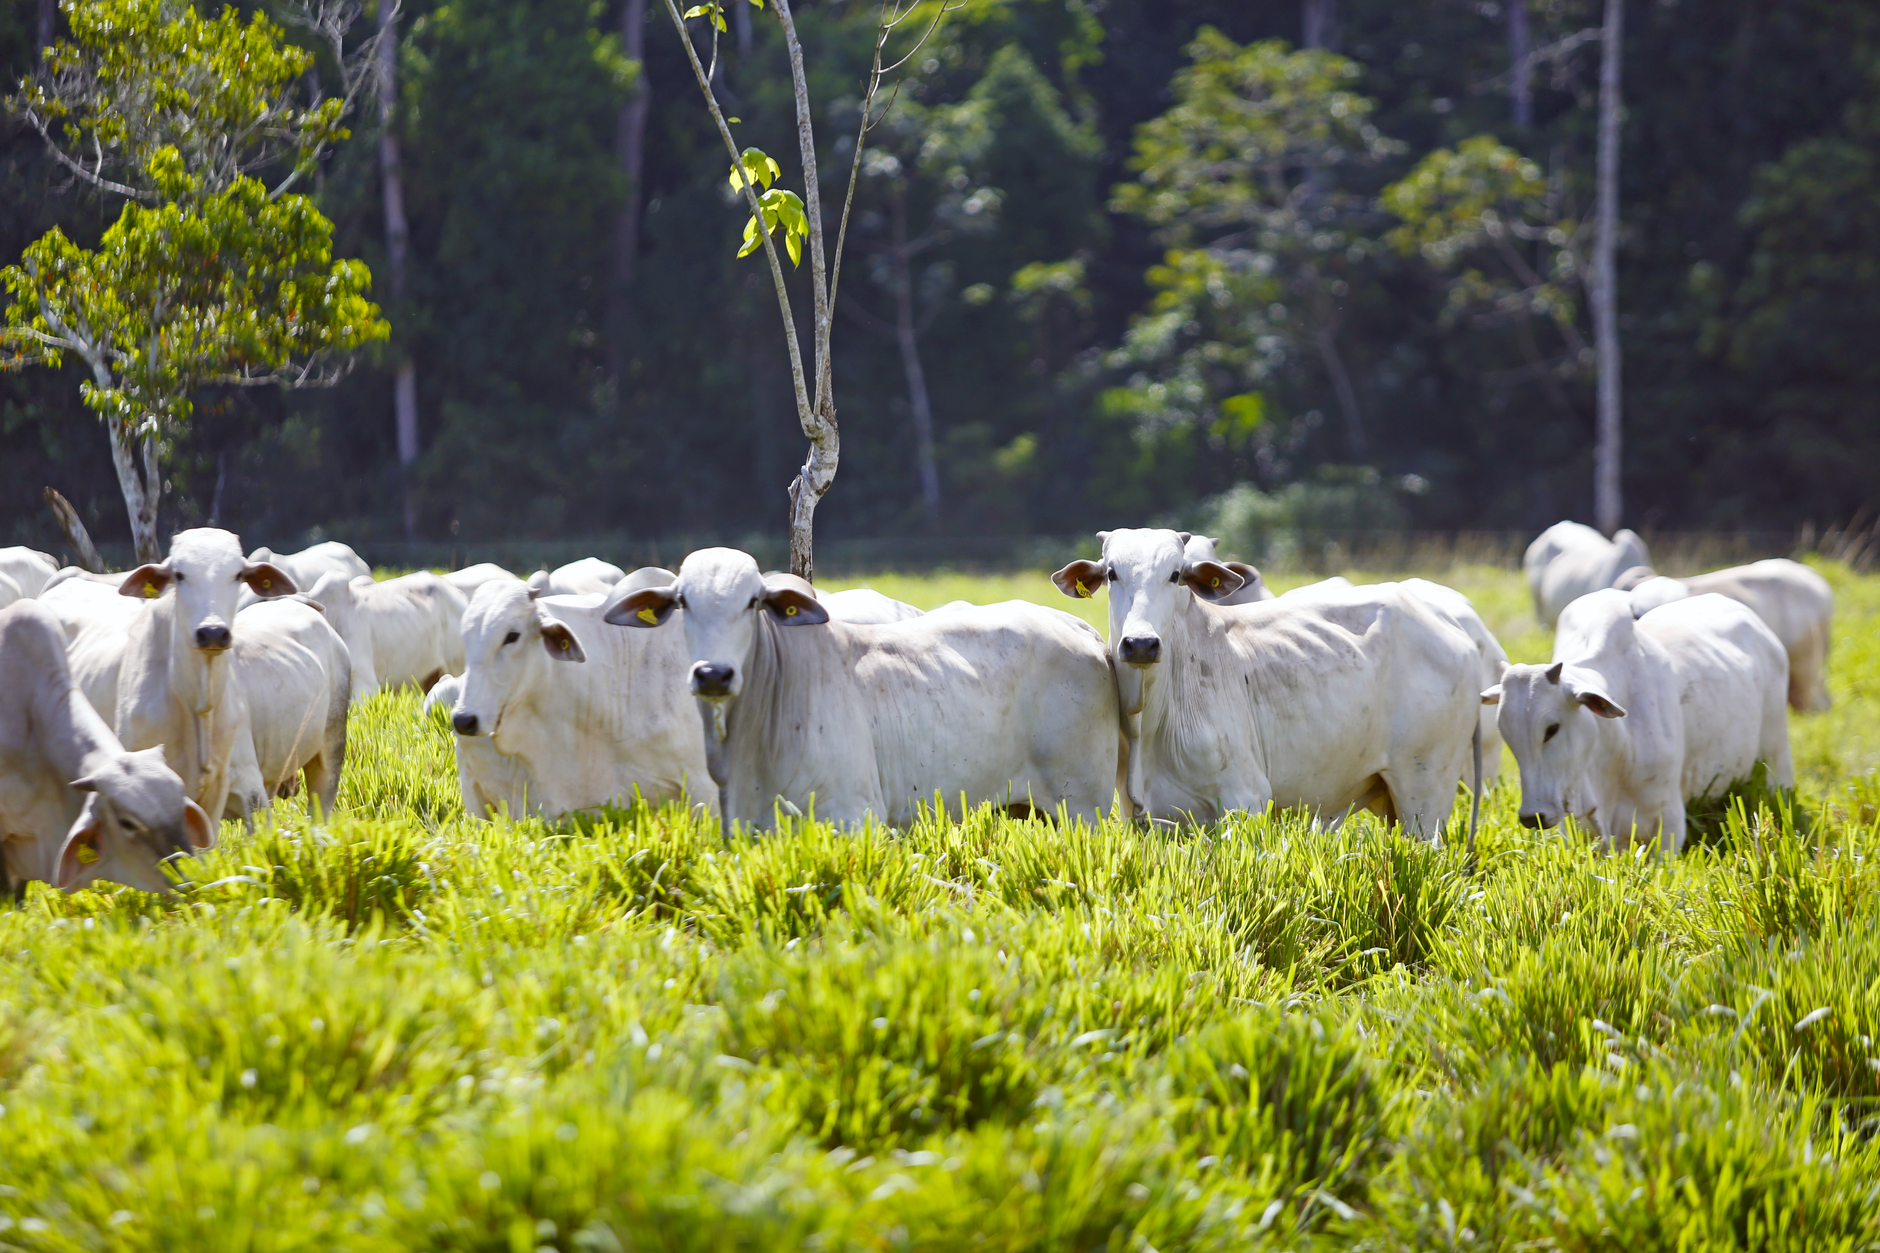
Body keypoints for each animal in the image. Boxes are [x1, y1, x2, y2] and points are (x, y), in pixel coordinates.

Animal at [602, 548, 1122, 831]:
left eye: (753, 602)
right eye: (682, 601)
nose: (713, 675)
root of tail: (1077, 626)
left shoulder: (854, 814)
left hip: (1084, 806)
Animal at [1053, 529, 1483, 839]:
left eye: (1175, 575)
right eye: (1112, 573)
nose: (1141, 643)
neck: (1150, 718)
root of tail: (1453, 627)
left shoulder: (1245, 801)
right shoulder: (1147, 819)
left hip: (1425, 795)